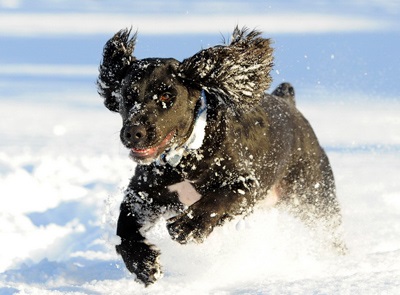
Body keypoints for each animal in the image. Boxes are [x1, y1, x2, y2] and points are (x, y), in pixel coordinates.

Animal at [97, 27, 346, 286]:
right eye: (127, 96)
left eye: (166, 96)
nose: (133, 132)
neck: (185, 158)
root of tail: (290, 104)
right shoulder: (143, 194)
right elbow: (124, 229)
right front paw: (144, 264)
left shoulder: (247, 183)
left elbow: (218, 199)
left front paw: (187, 226)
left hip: (315, 197)